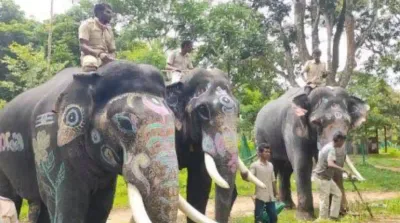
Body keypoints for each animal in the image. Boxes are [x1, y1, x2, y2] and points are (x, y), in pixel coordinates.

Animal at [253, 86, 368, 220]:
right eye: (317, 122)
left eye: (348, 123)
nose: (344, 212)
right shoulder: (294, 125)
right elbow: (303, 163)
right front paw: (305, 218)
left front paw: (335, 214)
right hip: (262, 137)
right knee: (273, 165)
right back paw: (277, 206)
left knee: (286, 169)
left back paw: (287, 206)